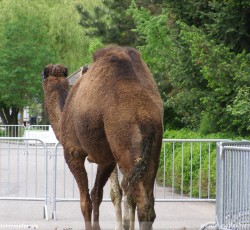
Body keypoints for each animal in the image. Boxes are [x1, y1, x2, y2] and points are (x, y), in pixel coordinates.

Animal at [41, 45, 164, 230]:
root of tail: (146, 116)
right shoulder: (106, 158)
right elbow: (97, 194)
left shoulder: (73, 152)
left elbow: (86, 201)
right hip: (153, 153)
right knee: (148, 204)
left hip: (126, 146)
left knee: (140, 203)